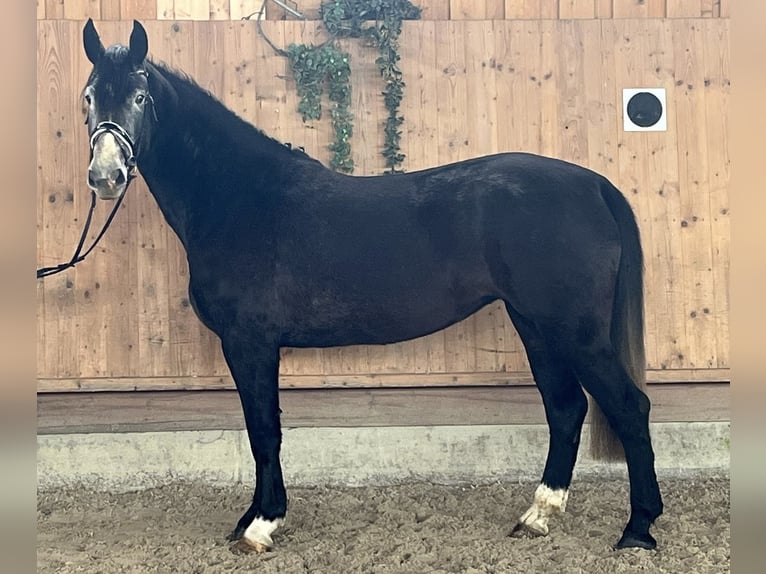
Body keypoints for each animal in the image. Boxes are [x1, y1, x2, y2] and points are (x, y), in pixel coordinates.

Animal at [80, 19, 663, 552]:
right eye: (88, 98)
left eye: (138, 95)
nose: (106, 176)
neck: (239, 196)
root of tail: (594, 184)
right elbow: (260, 430)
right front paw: (250, 519)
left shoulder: (250, 342)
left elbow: (263, 430)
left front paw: (262, 524)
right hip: (536, 325)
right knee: (566, 408)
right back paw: (537, 516)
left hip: (575, 330)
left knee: (629, 406)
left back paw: (638, 529)